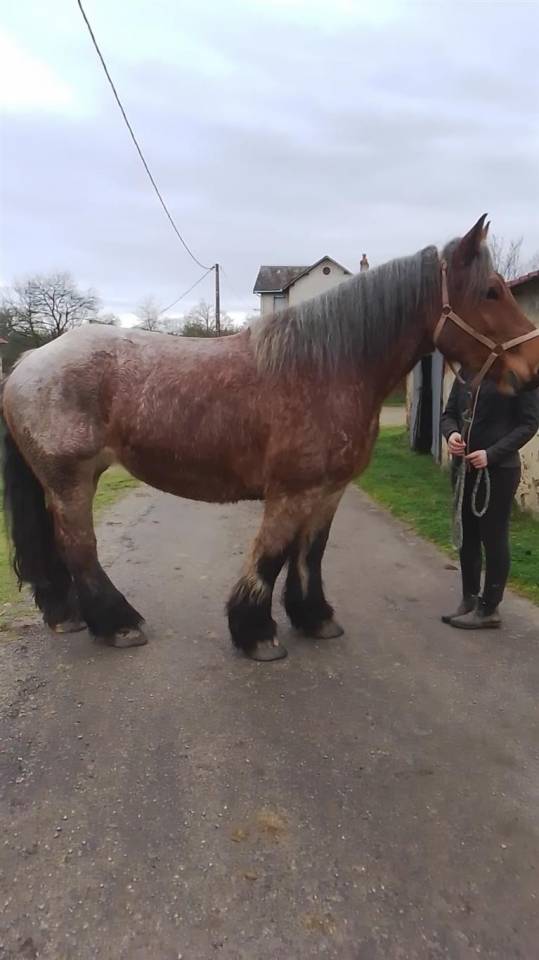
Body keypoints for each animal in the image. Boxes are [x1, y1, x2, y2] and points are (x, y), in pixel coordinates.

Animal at [2, 215, 539, 661]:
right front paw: (257, 634)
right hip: (71, 482)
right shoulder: (290, 492)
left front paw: (315, 618)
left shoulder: (327, 491)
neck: (328, 368)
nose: (530, 369)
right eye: (491, 292)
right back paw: (118, 625)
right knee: (79, 547)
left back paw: (69, 616)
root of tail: (29, 362)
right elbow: (271, 556)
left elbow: (310, 555)